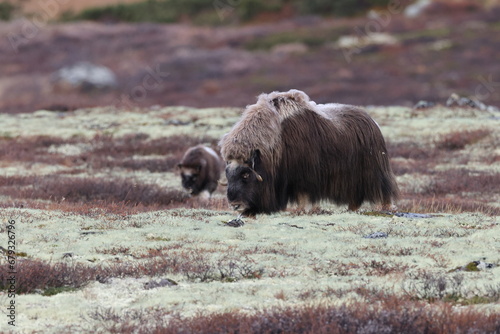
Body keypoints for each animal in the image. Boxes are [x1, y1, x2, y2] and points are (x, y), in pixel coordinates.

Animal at [221, 88, 400, 217]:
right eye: (228, 175)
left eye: (246, 174)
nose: (235, 205)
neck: (275, 142)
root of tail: (372, 121)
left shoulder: (303, 176)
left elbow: (303, 196)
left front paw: (301, 210)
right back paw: (351, 209)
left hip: (374, 171)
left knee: (383, 189)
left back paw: (386, 208)